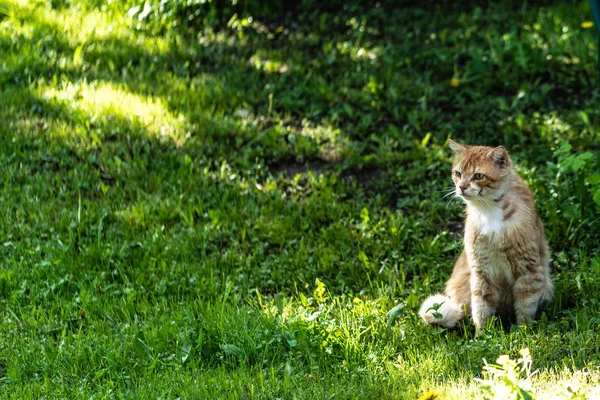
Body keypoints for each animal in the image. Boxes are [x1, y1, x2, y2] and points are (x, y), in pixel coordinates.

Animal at [418, 141, 552, 334]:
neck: (488, 210)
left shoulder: (528, 270)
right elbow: (481, 308)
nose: (462, 187)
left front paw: (522, 333)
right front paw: (481, 336)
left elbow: (525, 308)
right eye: (458, 174)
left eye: (478, 176)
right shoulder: (482, 271)